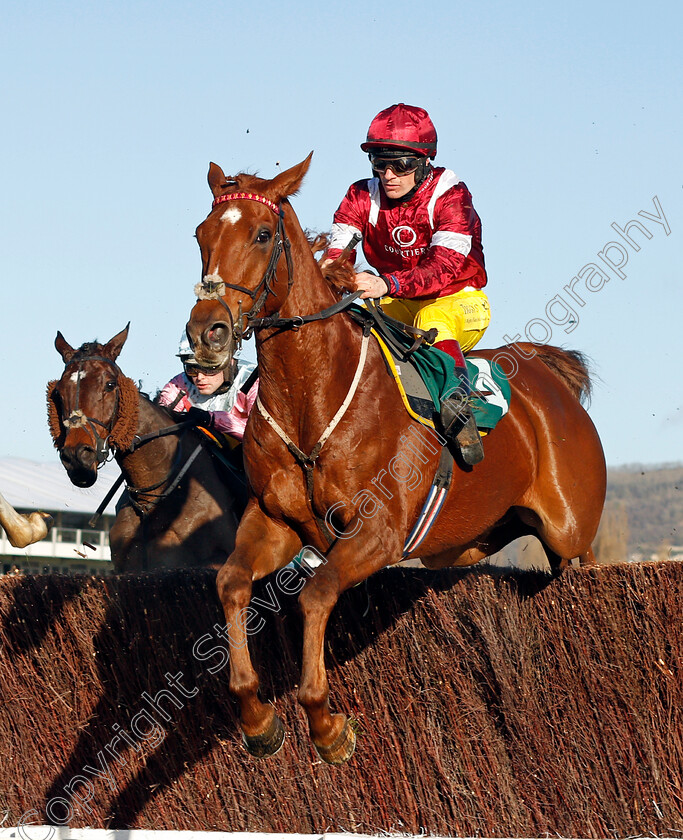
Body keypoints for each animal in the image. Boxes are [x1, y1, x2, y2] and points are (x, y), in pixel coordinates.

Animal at [184, 154, 608, 764]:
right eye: (201, 235)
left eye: (263, 234)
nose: (207, 334)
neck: (312, 396)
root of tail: (547, 375)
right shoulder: (273, 522)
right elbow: (231, 583)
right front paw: (259, 719)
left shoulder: (377, 534)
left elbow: (314, 596)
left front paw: (327, 725)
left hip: (572, 536)